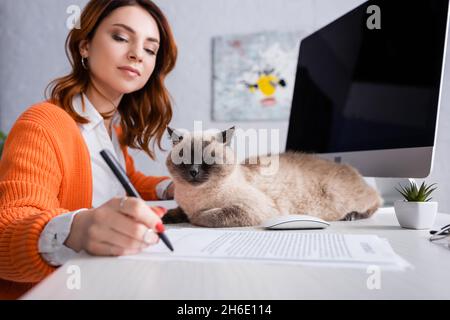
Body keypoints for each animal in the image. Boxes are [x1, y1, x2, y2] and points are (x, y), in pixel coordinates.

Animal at [163, 126, 382, 226]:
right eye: (184, 159)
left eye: (208, 159)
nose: (193, 172)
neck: (194, 199)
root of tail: (347, 166)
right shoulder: (184, 206)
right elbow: (178, 211)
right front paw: (166, 218)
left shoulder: (249, 209)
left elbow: (207, 216)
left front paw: (193, 218)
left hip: (341, 197)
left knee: (375, 201)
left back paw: (353, 216)